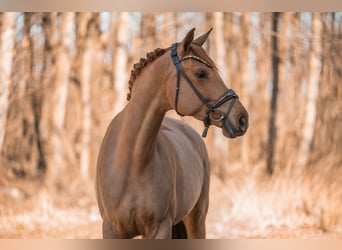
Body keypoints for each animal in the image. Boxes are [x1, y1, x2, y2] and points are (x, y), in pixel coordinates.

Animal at [96, 27, 248, 238]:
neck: (131, 162)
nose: (242, 118)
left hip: (197, 220)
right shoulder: (111, 230)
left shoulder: (160, 228)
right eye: (201, 73)